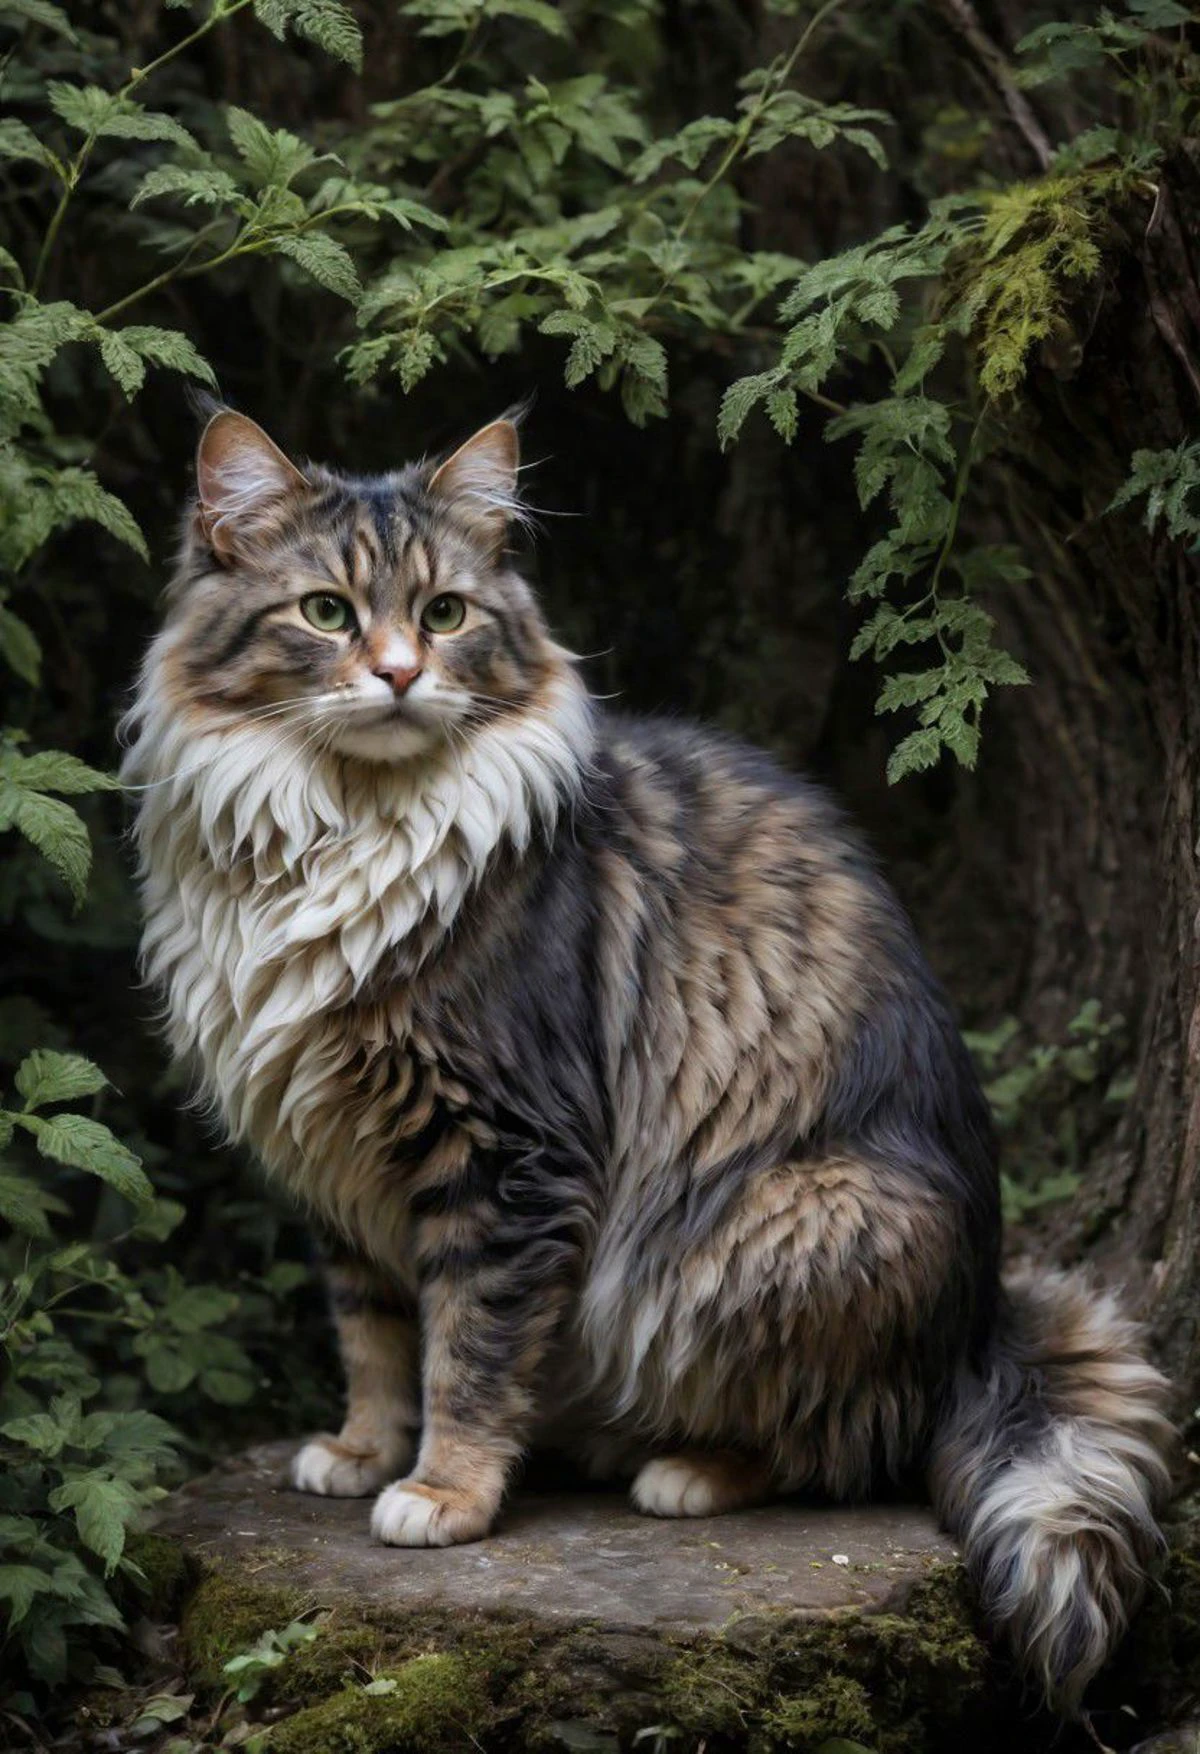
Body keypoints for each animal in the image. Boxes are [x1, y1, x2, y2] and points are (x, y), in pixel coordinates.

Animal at [121, 401, 1171, 1711]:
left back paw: (679, 1466)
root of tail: (984, 1317)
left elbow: (468, 1348)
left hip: (773, 1229)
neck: (341, 824)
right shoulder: (341, 1162)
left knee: (845, 1444)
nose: (401, 672)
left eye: (446, 613)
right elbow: (375, 1333)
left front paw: (443, 1490)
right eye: (324, 611)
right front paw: (362, 1450)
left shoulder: (505, 1149)